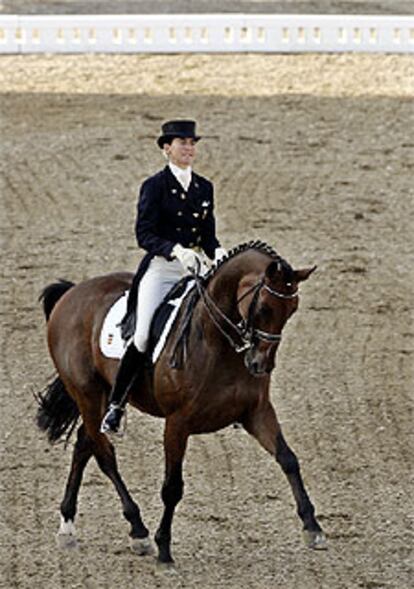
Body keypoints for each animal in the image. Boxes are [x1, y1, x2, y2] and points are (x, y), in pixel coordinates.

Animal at [36, 241, 326, 564]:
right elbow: (172, 487)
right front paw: (163, 546)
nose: (261, 365)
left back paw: (67, 527)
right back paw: (138, 531)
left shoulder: (257, 412)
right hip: (87, 393)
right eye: (264, 308)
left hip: (100, 397)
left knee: (84, 444)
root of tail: (73, 292)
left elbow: (288, 459)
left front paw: (312, 527)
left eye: (292, 309)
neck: (216, 340)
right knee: (104, 454)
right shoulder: (177, 423)